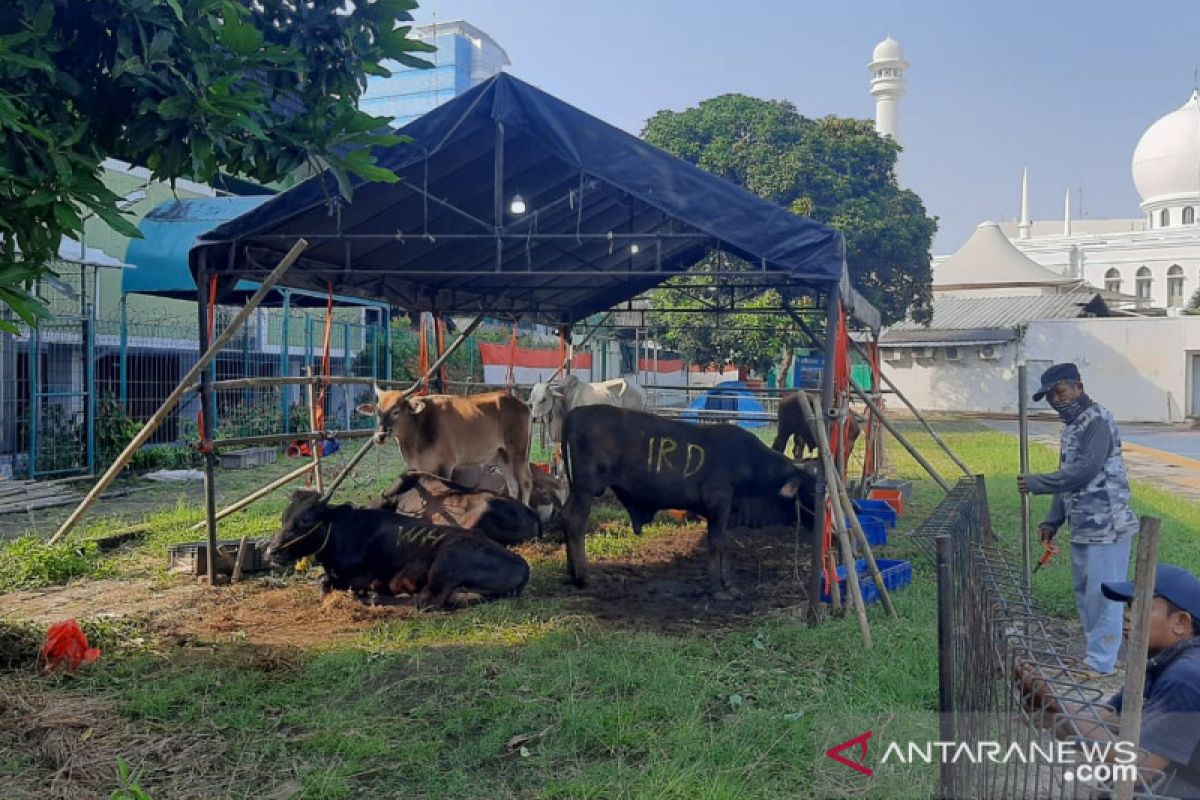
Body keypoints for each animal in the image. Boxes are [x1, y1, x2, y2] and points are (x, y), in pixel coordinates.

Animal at [267, 491, 530, 609]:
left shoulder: (364, 575)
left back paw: (373, 597)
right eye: (284, 517)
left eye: (306, 520)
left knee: (425, 601)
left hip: (446, 562)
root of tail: (523, 564)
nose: (272, 551)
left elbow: (324, 584)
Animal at [357, 388, 532, 506]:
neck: (419, 425)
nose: (379, 436)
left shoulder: (446, 466)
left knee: (525, 482)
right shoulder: (420, 467)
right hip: (503, 455)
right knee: (513, 484)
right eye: (377, 412)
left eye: (396, 411)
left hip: (519, 452)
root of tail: (522, 404)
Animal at [561, 407, 816, 599]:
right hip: (586, 489)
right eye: (812, 491)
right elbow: (715, 544)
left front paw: (728, 584)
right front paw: (716, 588)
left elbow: (724, 544)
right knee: (575, 523)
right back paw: (584, 577)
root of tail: (576, 412)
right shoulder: (718, 502)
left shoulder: (729, 511)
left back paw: (572, 573)